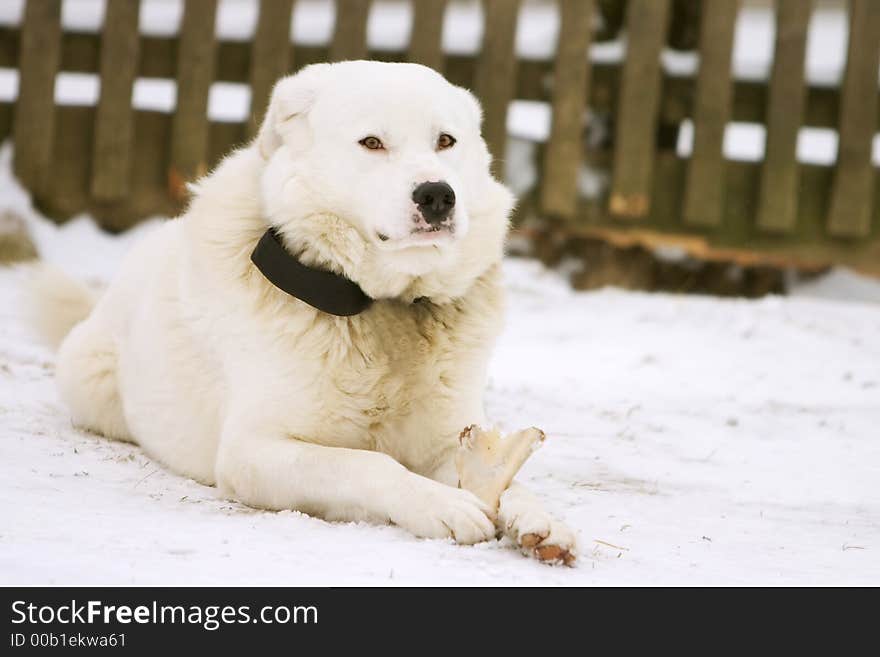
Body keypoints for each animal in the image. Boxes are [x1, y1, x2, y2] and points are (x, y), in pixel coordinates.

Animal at [27, 61, 576, 564]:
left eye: (446, 141)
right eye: (372, 142)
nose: (438, 195)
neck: (379, 306)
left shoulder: (449, 442)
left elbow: (512, 482)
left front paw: (539, 519)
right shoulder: (253, 453)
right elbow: (368, 465)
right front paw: (440, 504)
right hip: (91, 377)